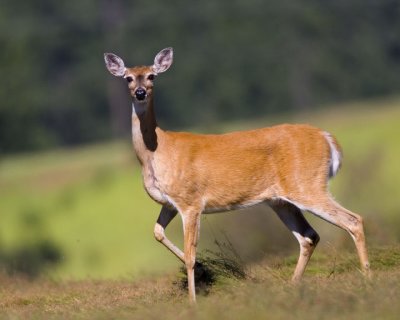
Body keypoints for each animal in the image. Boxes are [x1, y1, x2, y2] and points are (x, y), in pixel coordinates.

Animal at [104, 47, 372, 302]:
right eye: (128, 78)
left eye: (152, 76)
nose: (140, 92)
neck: (157, 150)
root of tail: (328, 138)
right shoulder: (170, 203)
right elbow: (158, 233)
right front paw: (203, 270)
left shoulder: (191, 201)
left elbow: (190, 253)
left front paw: (193, 300)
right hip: (281, 200)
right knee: (309, 236)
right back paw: (293, 284)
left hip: (307, 185)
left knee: (353, 220)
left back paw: (367, 276)